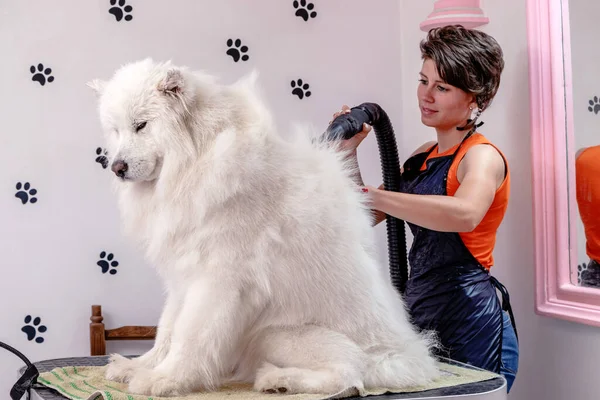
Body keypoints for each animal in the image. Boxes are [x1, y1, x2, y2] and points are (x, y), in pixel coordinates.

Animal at [85, 58, 440, 396]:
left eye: (141, 125)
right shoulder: (183, 277)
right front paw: (138, 367)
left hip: (276, 335)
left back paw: (277, 379)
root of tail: (406, 356)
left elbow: (190, 336)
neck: (197, 160)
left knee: (350, 375)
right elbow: (167, 330)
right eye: (116, 131)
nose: (116, 167)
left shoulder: (218, 280)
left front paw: (165, 380)